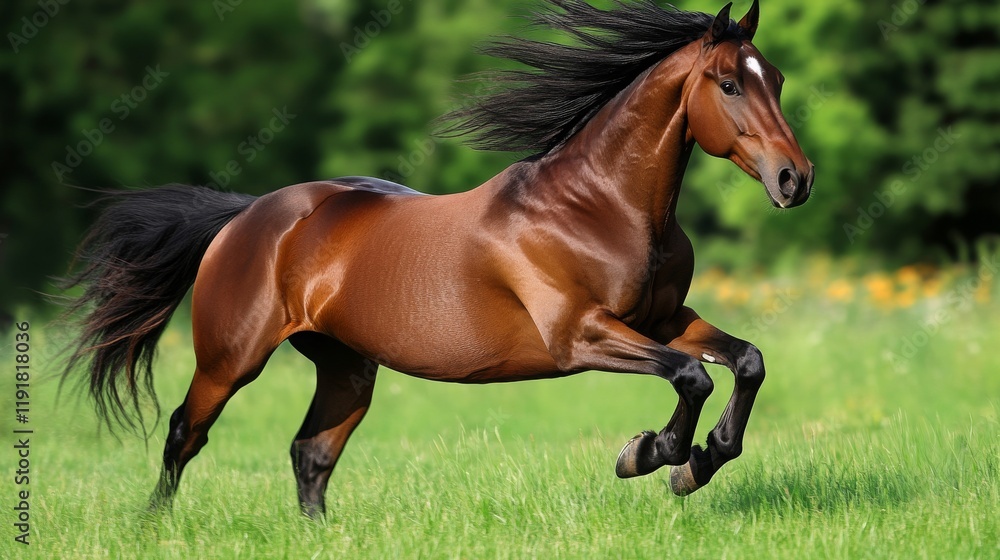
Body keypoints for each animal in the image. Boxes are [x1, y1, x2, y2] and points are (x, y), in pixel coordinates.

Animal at [63, 0, 812, 518]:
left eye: (774, 77)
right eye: (727, 83)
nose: (794, 180)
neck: (598, 206)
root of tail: (247, 216)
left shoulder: (663, 320)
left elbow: (744, 362)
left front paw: (698, 461)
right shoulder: (580, 335)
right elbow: (692, 376)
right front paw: (651, 456)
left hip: (346, 367)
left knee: (311, 452)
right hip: (231, 358)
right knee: (184, 433)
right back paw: (154, 527)